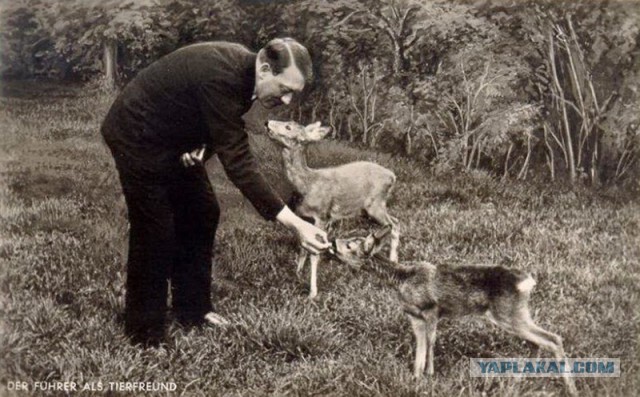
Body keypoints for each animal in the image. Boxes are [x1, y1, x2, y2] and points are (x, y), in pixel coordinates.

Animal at [262, 119, 398, 298]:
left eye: (288, 127)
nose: (267, 122)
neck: (307, 184)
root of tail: (393, 176)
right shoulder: (304, 217)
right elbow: (303, 247)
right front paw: (297, 273)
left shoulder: (322, 216)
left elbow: (314, 254)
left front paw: (312, 292)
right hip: (369, 209)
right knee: (394, 222)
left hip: (375, 204)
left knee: (394, 224)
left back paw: (393, 260)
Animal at [330, 226, 580, 396]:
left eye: (350, 245)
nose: (332, 240)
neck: (403, 278)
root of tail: (527, 282)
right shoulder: (414, 317)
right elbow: (420, 349)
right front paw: (416, 378)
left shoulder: (432, 309)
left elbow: (431, 343)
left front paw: (430, 375)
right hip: (514, 314)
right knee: (538, 341)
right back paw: (522, 381)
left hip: (509, 314)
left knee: (553, 339)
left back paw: (570, 389)